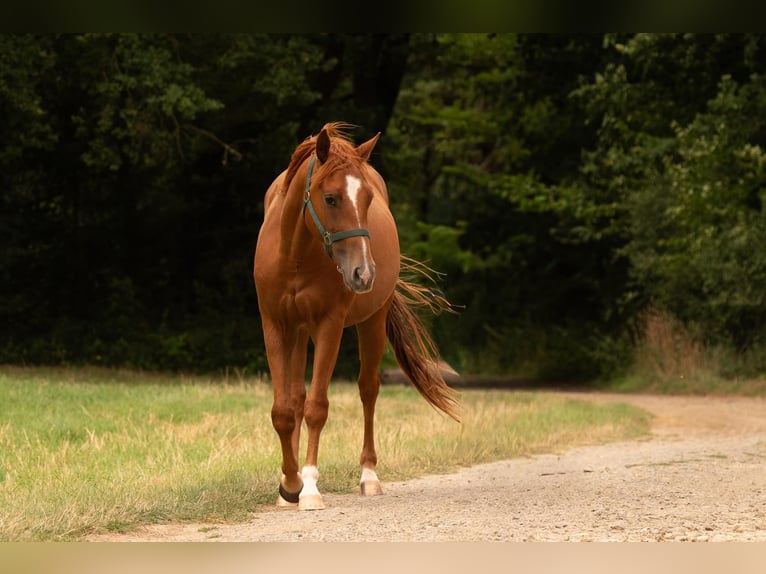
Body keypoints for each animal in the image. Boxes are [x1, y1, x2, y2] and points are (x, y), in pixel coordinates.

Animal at [253, 122, 460, 510]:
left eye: (366, 199)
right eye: (331, 198)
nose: (363, 273)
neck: (295, 255)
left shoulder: (330, 326)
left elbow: (317, 407)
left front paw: (309, 487)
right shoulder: (275, 325)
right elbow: (284, 410)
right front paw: (289, 483)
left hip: (371, 323)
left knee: (368, 390)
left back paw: (369, 476)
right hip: (299, 333)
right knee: (297, 398)